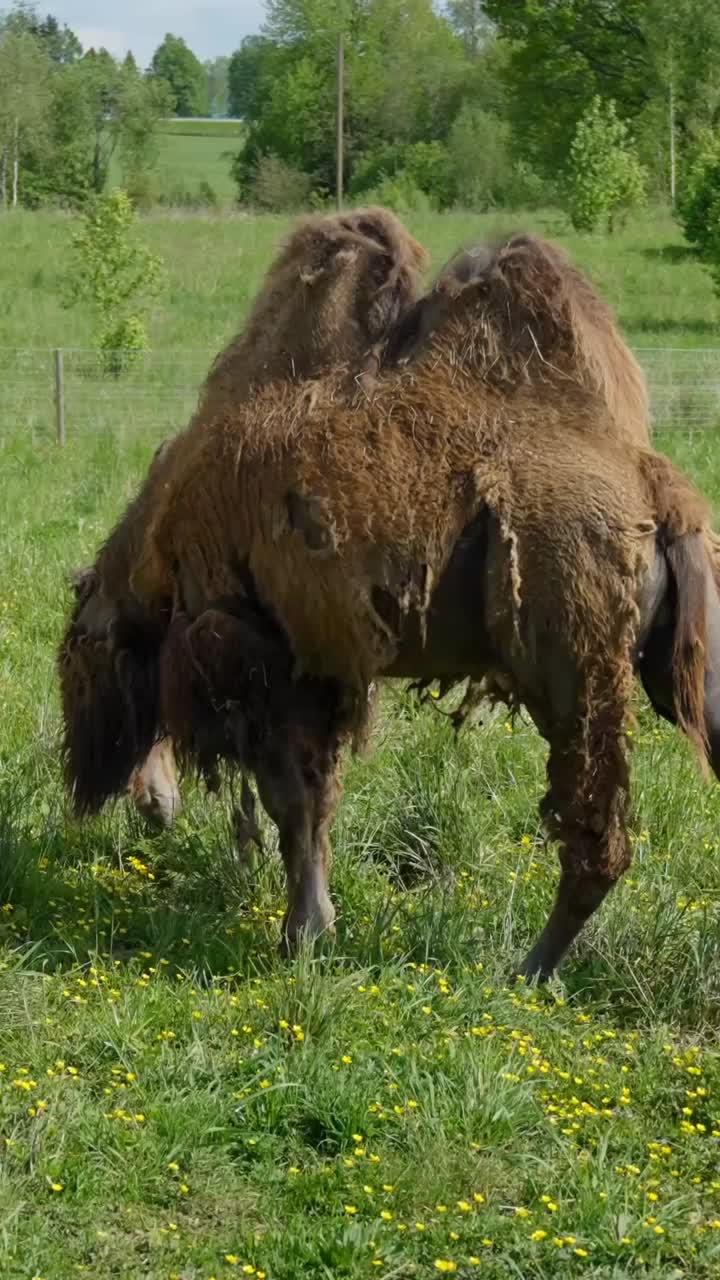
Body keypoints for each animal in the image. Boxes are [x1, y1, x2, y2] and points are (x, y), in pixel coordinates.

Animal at [59, 227, 720, 979]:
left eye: (75, 657)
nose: (151, 804)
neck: (160, 541)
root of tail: (662, 500)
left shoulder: (260, 656)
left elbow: (291, 801)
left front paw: (302, 936)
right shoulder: (326, 668)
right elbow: (315, 802)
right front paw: (314, 926)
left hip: (577, 666)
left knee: (593, 831)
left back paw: (527, 971)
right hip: (671, 665)